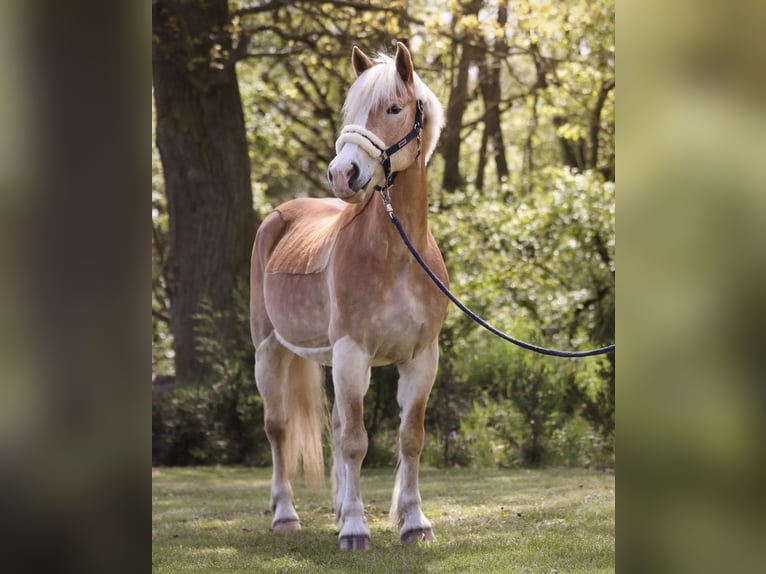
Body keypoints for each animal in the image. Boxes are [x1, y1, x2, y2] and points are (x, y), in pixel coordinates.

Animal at [250, 41, 450, 552]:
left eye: (394, 108)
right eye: (351, 110)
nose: (343, 174)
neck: (399, 257)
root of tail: (280, 215)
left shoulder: (420, 359)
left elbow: (409, 438)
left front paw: (414, 522)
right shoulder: (351, 352)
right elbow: (356, 443)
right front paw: (357, 530)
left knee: (339, 425)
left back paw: (339, 509)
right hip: (271, 351)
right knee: (279, 430)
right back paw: (286, 516)